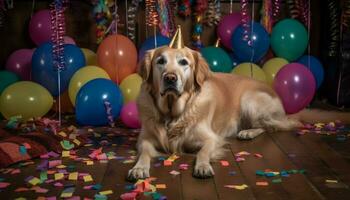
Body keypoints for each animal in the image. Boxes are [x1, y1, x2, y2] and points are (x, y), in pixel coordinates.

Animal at [128, 45, 350, 180]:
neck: (173, 114)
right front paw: (139, 167)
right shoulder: (144, 139)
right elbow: (145, 152)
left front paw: (202, 166)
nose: (170, 78)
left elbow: (203, 151)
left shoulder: (212, 138)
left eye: (184, 62)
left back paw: (248, 132)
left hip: (249, 100)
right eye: (160, 61)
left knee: (274, 126)